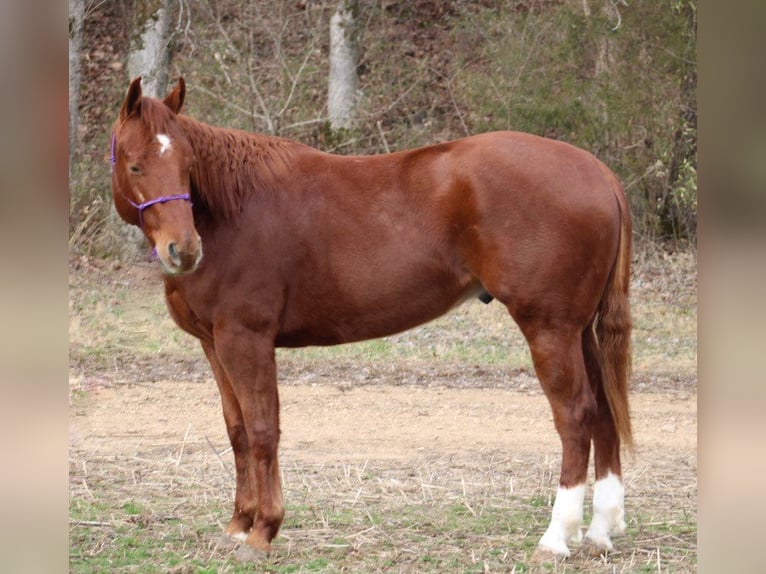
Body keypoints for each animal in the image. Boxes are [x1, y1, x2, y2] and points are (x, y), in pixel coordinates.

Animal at [109, 77, 636, 564]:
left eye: (187, 165)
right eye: (136, 164)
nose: (184, 250)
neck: (233, 210)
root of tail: (596, 170)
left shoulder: (247, 339)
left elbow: (262, 430)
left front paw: (263, 532)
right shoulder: (214, 344)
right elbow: (236, 430)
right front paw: (238, 524)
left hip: (549, 328)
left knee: (575, 416)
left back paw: (555, 538)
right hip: (578, 331)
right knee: (603, 412)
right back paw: (600, 530)